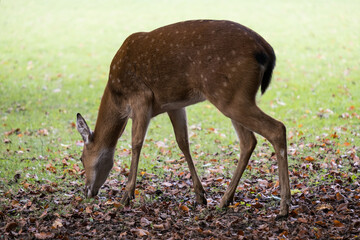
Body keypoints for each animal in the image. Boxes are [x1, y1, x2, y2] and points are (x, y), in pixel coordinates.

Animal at [77, 20, 292, 219]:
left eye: (81, 158)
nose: (87, 190)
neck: (117, 98)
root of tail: (266, 51)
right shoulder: (174, 104)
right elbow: (183, 142)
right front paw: (200, 196)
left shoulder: (141, 97)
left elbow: (136, 143)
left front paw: (126, 196)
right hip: (234, 96)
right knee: (249, 141)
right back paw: (225, 200)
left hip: (230, 95)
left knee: (277, 128)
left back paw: (284, 207)